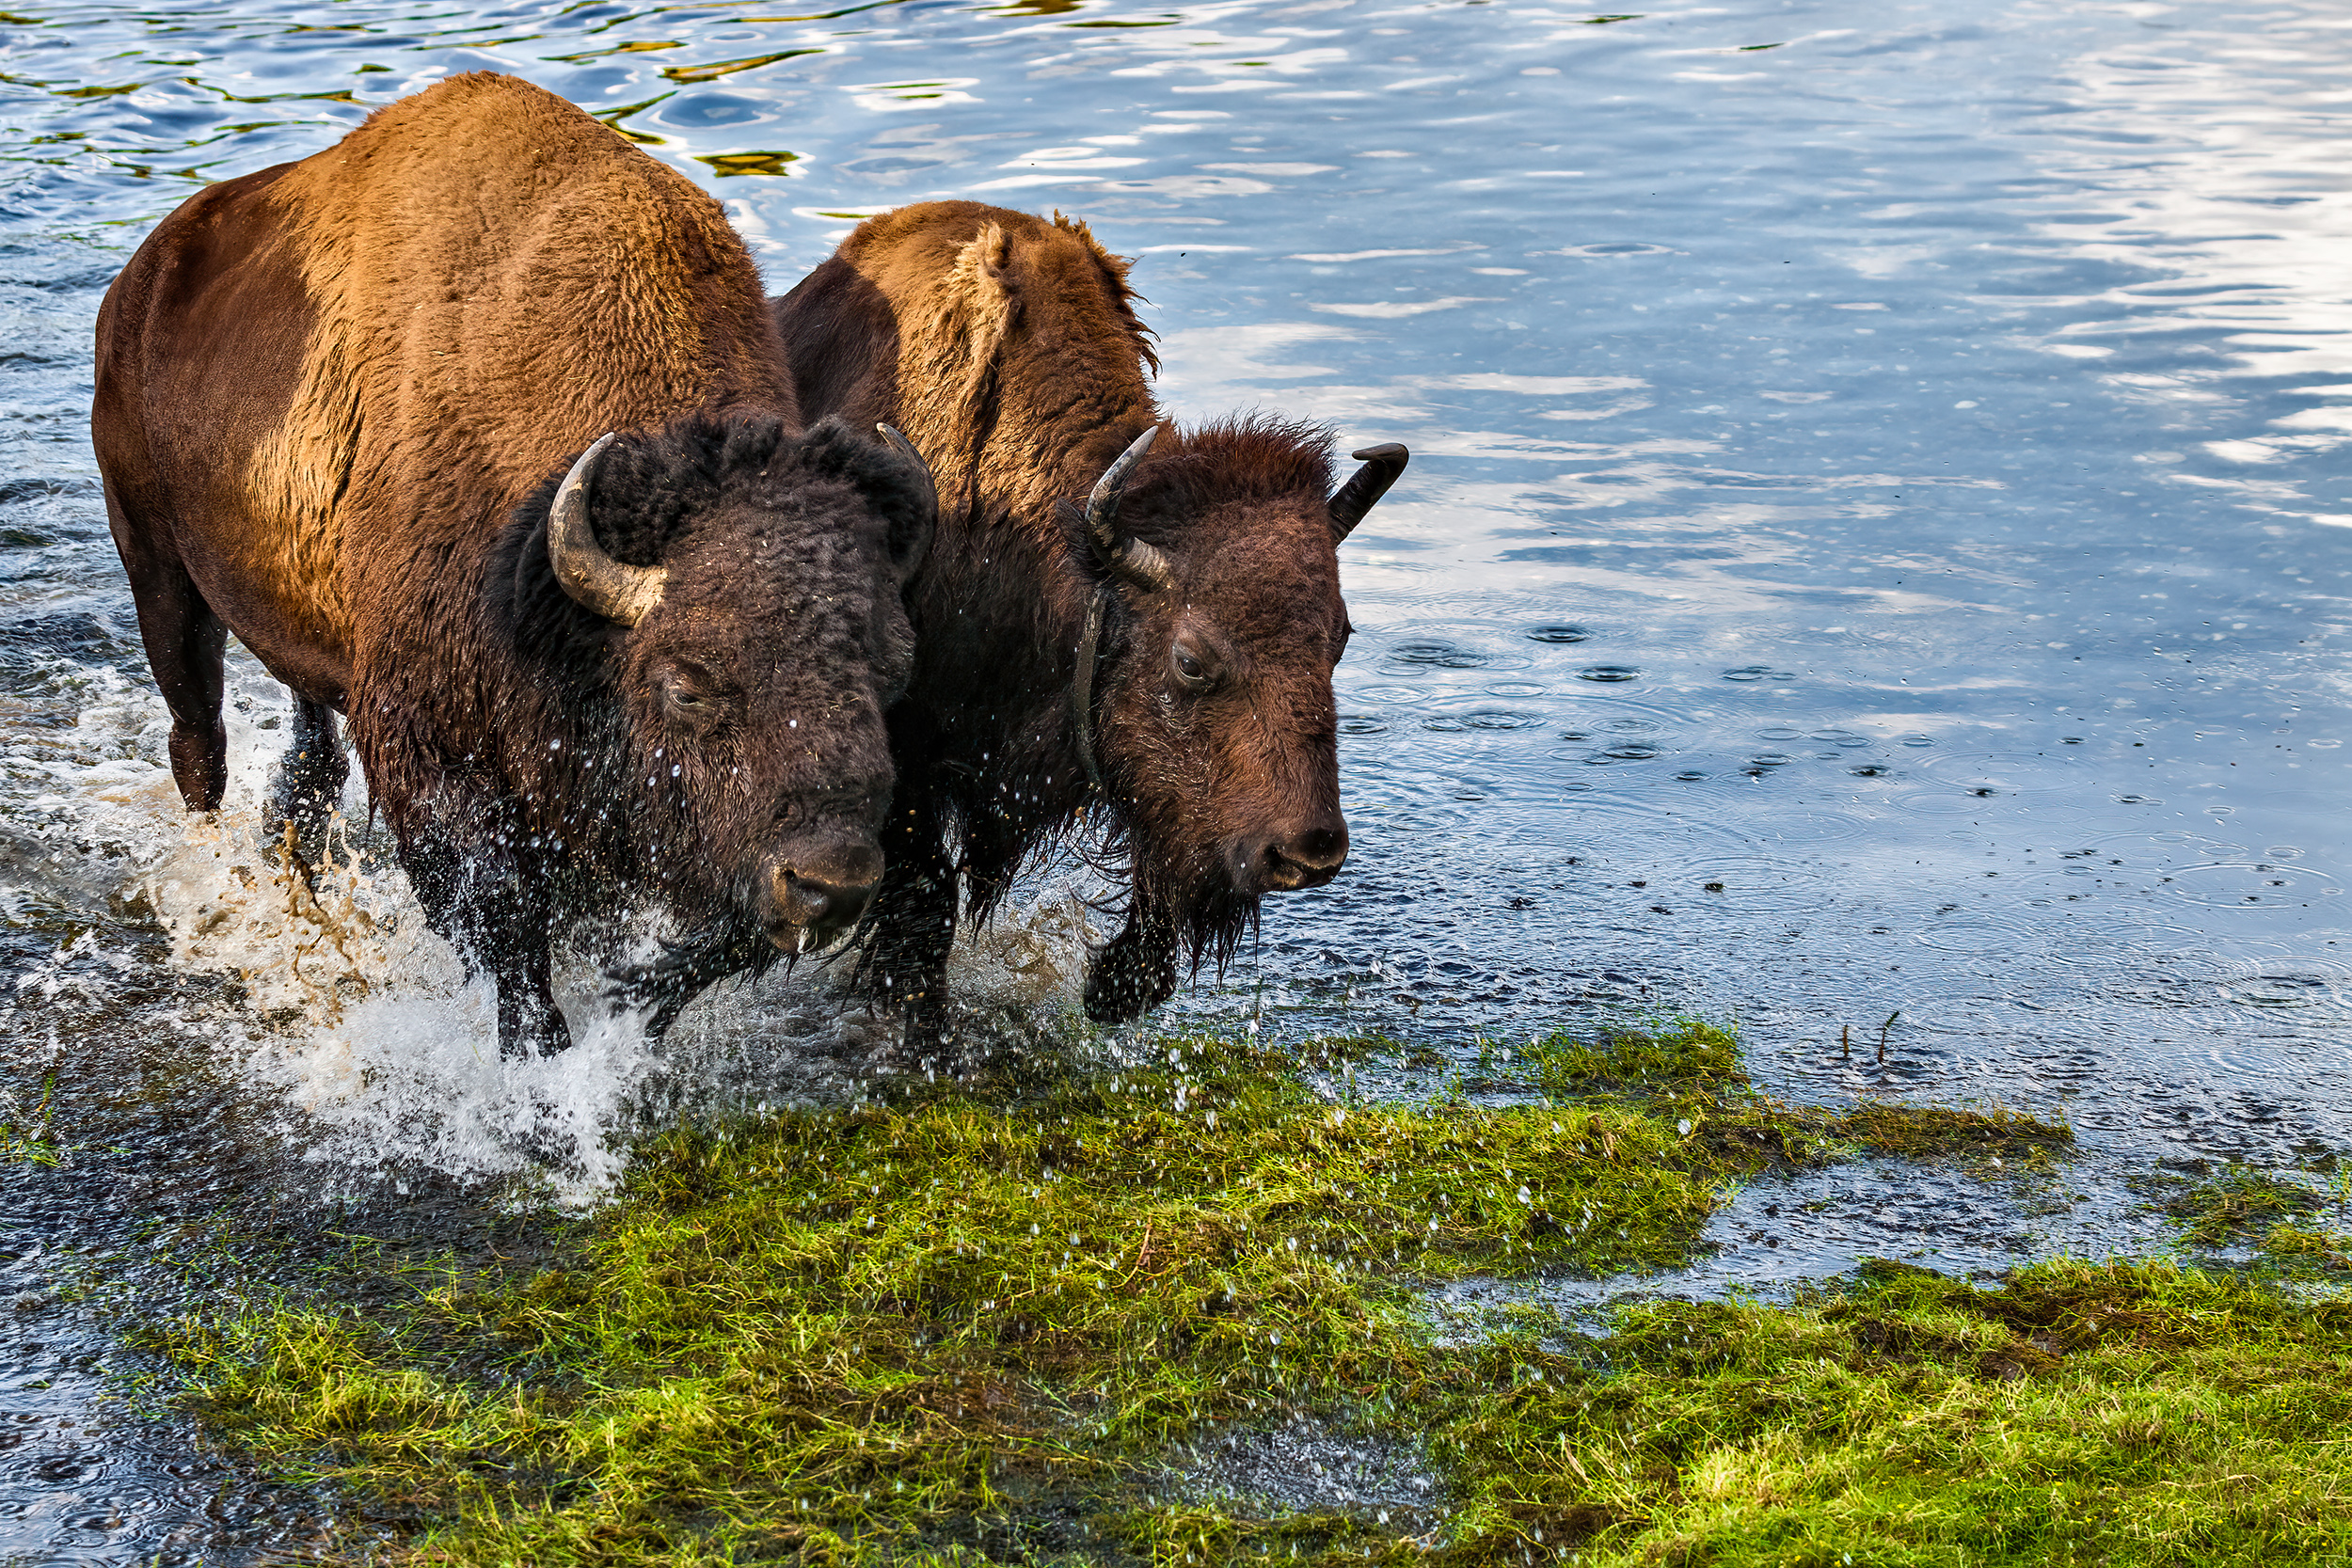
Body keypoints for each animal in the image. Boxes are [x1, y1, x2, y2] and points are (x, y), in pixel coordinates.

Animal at [94, 70, 936, 1053]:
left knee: (308, 751)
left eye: (892, 674)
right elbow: (504, 914)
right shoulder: (429, 744)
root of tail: (141, 277)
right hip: (157, 569)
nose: (832, 884)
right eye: (686, 685)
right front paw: (540, 1053)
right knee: (199, 743)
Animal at [771, 201, 1402, 1048]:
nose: (1308, 851)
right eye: (1190, 660)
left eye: (1340, 638)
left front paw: (1110, 989)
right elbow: (926, 907)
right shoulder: (905, 761)